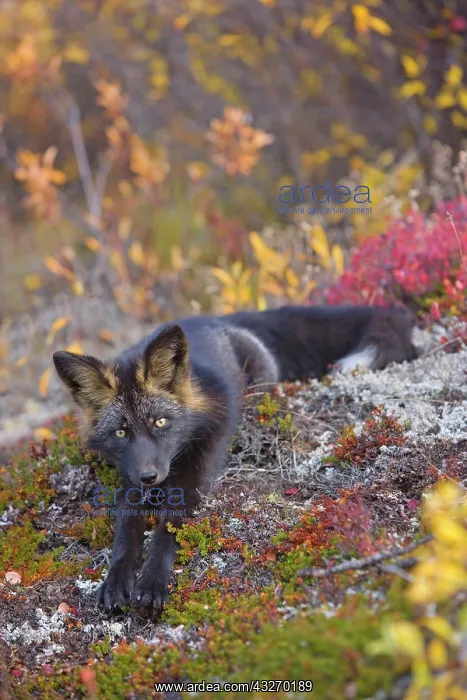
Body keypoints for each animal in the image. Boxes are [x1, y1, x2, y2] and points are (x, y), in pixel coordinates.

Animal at [53, 304, 417, 612]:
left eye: (160, 422)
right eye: (120, 433)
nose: (149, 477)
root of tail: (217, 319)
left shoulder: (196, 479)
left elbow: (167, 533)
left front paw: (153, 581)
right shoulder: (128, 480)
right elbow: (125, 536)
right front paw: (116, 580)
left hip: (259, 388)